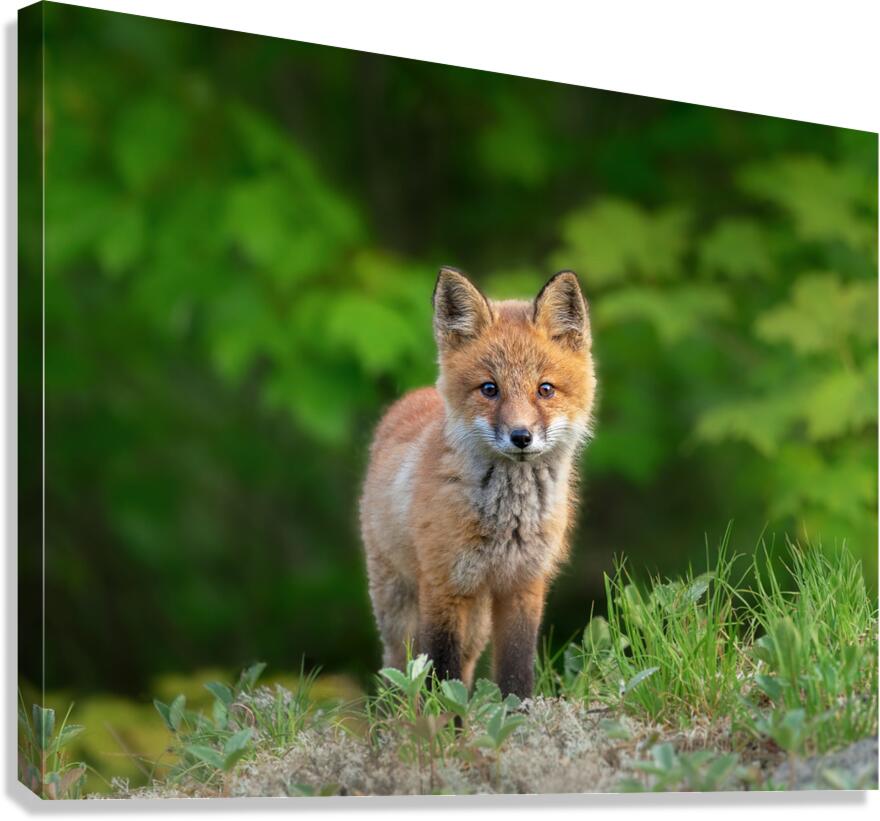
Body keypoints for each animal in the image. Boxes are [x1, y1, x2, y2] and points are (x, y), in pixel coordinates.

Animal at [359, 267, 596, 698]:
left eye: (545, 389)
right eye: (490, 389)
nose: (521, 437)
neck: (508, 522)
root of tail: (414, 396)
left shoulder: (523, 585)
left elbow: (515, 669)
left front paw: (515, 711)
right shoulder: (444, 585)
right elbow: (442, 673)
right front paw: (448, 719)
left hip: (477, 620)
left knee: (466, 663)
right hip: (399, 602)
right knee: (399, 671)